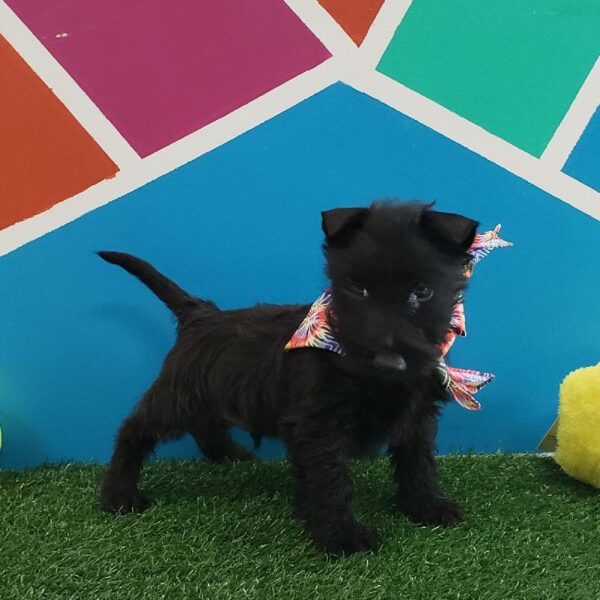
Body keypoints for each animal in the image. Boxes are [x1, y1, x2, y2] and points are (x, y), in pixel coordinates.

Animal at [101, 199, 480, 556]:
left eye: (423, 291)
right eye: (356, 288)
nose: (387, 359)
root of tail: (199, 313)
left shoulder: (418, 415)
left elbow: (419, 462)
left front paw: (427, 506)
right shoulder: (319, 425)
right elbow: (332, 478)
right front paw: (340, 534)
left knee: (206, 426)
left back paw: (229, 454)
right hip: (178, 395)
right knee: (135, 430)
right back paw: (119, 495)